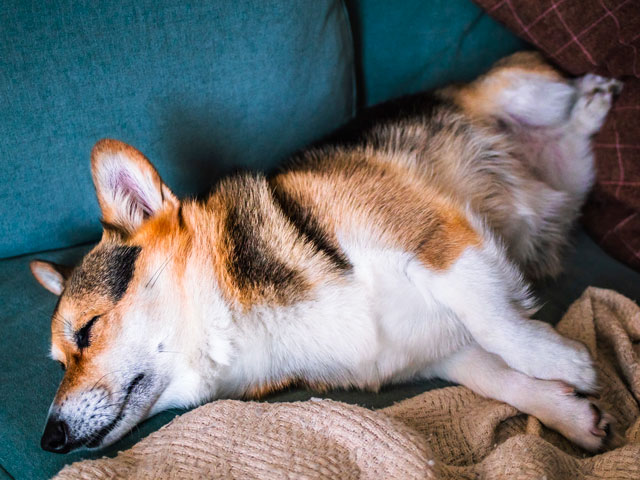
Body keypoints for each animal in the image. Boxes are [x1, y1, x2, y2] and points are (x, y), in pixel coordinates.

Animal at [30, 52, 620, 454]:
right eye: (59, 362)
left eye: (87, 331)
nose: (49, 439)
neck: (248, 332)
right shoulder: (438, 352)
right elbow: (497, 376)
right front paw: (569, 413)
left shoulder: (435, 234)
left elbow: (497, 323)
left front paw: (563, 361)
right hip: (569, 176)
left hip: (517, 89)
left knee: (560, 98)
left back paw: (595, 96)